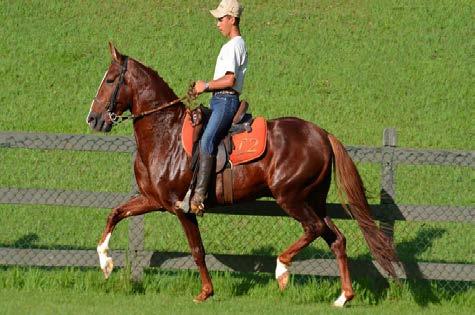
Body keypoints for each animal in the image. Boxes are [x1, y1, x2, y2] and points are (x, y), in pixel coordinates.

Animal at [86, 43, 398, 308]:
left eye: (111, 80)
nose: (93, 119)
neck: (166, 135)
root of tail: (322, 134)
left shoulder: (181, 208)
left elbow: (197, 249)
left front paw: (206, 292)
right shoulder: (153, 199)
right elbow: (115, 213)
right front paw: (105, 263)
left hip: (291, 196)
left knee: (314, 228)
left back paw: (282, 270)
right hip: (314, 199)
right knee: (336, 238)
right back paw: (343, 297)